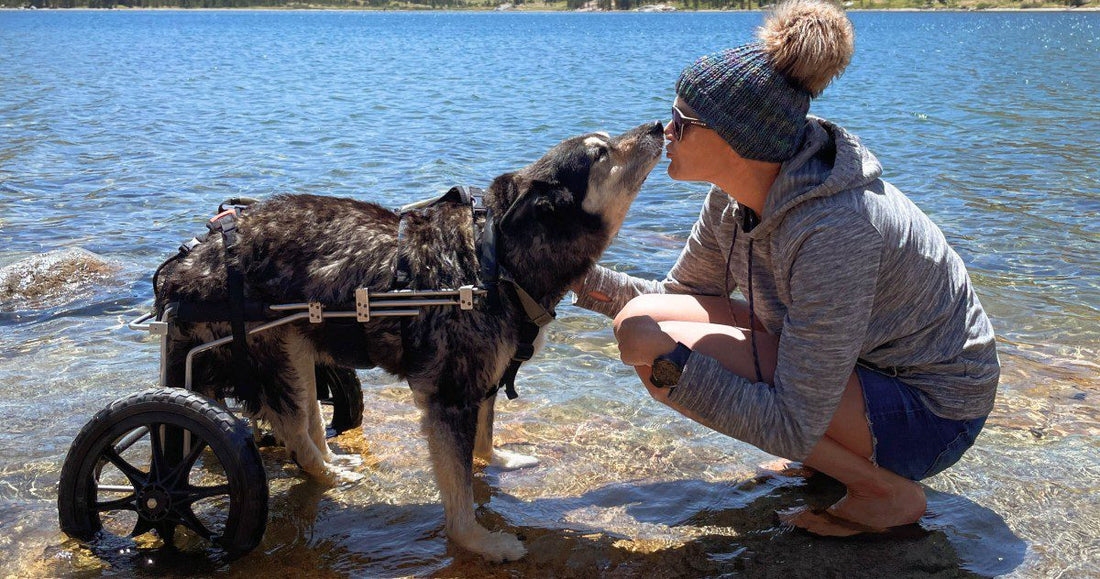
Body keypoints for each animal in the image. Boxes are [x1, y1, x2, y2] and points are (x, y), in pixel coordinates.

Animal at [156, 122, 664, 563]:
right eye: (600, 152)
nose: (660, 125)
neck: (497, 255)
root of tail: (183, 269)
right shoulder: (450, 395)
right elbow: (458, 489)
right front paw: (478, 541)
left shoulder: (482, 380)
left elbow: (484, 436)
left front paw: (499, 458)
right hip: (271, 354)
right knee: (295, 432)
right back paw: (328, 473)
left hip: (298, 352)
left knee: (312, 421)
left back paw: (334, 460)